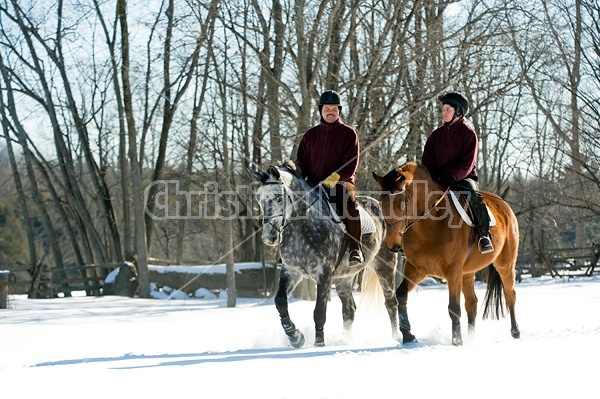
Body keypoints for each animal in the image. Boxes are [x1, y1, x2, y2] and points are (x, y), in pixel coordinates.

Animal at [372, 162, 516, 346]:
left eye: (402, 203)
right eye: (381, 203)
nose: (392, 245)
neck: (431, 224)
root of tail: (504, 205)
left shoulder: (453, 270)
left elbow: (453, 307)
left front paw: (457, 340)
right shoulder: (416, 268)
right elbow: (401, 295)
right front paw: (407, 334)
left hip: (505, 265)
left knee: (510, 294)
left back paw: (515, 331)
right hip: (467, 273)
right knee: (472, 303)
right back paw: (471, 337)